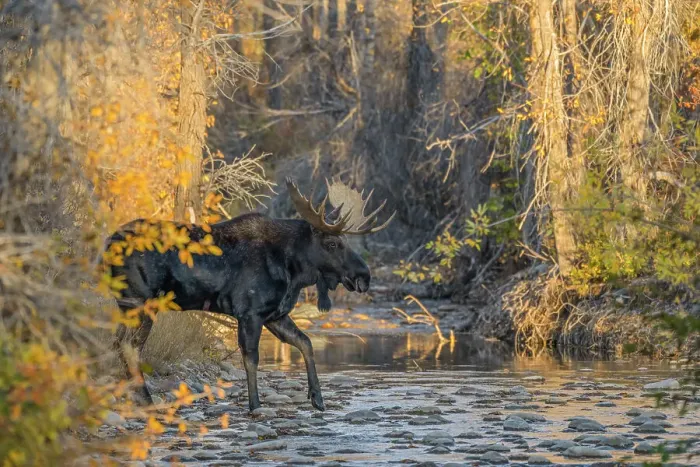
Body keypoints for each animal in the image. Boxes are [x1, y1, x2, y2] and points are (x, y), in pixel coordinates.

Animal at [104, 178, 395, 412]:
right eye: (332, 243)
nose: (364, 276)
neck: (294, 271)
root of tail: (106, 245)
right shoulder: (250, 312)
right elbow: (251, 359)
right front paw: (255, 405)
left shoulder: (275, 314)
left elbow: (306, 343)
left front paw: (317, 399)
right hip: (140, 302)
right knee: (129, 346)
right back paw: (144, 399)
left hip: (127, 305)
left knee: (116, 344)